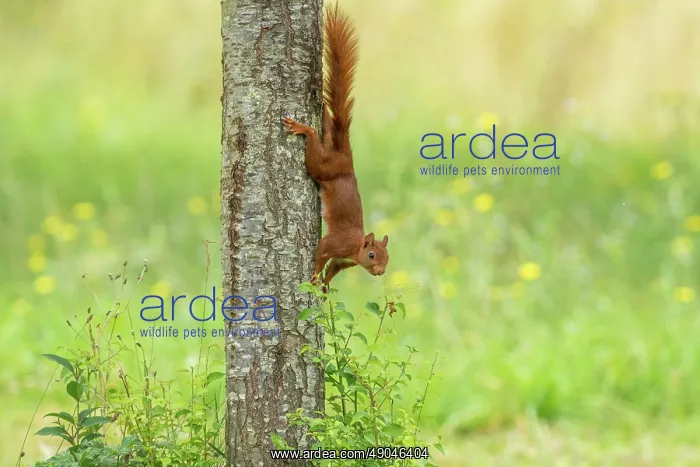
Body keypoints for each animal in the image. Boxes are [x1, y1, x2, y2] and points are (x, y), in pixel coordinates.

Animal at [282, 3, 389, 289]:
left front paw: (326, 286)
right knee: (314, 157)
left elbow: (332, 270)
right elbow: (321, 253)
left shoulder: (342, 262)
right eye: (372, 254)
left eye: (388, 257)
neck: (355, 249)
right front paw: (314, 276)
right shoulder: (335, 243)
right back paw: (305, 128)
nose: (380, 271)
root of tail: (345, 156)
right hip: (323, 167)